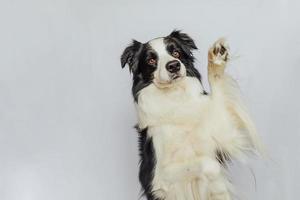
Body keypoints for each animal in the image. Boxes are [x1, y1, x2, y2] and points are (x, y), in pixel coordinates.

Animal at [120, 30, 264, 199]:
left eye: (176, 52)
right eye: (151, 60)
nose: (174, 65)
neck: (176, 98)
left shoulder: (225, 132)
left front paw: (217, 57)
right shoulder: (158, 177)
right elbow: (209, 165)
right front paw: (217, 182)